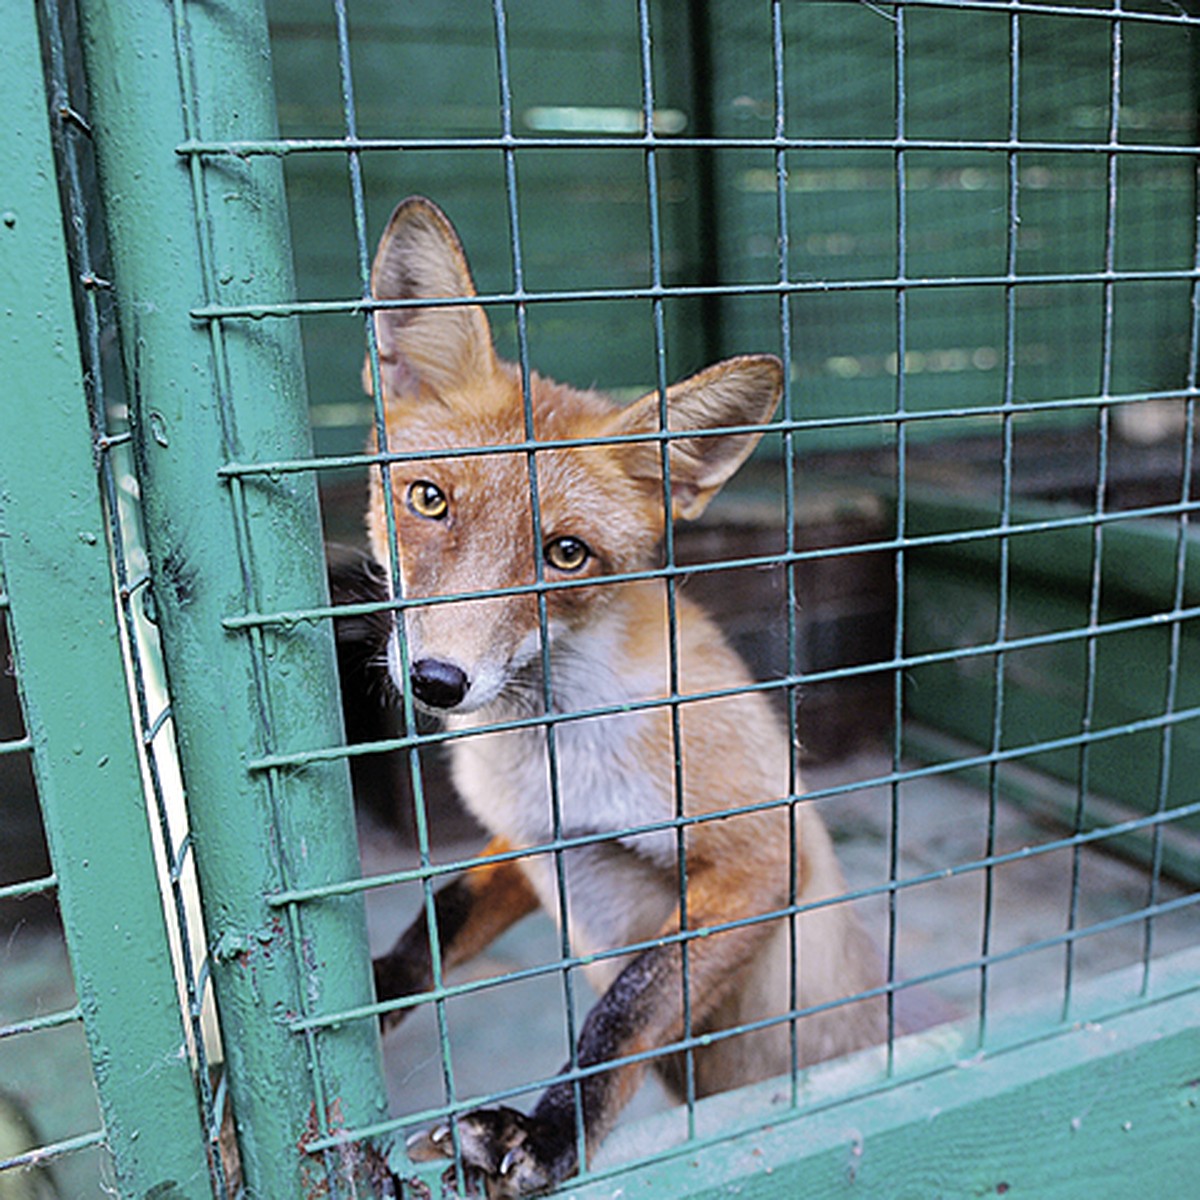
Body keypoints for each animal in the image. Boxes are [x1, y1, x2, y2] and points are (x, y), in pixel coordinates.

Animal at [364, 199, 892, 1200]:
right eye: (430, 500)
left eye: (566, 554)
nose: (437, 680)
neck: (549, 748)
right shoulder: (527, 839)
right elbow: (436, 921)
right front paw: (362, 994)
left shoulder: (762, 856)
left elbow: (628, 1004)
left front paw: (549, 1131)